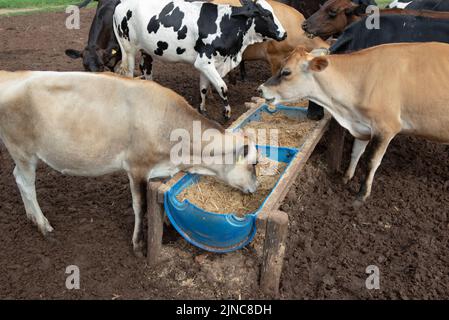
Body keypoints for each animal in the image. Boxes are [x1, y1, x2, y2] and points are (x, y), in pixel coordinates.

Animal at [114, 0, 286, 120]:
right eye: (266, 14)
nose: (284, 34)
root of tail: (121, 3)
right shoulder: (204, 62)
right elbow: (223, 88)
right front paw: (226, 113)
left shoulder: (207, 64)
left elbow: (203, 88)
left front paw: (202, 110)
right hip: (128, 49)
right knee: (128, 74)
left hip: (147, 51)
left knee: (147, 70)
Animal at [260, 42, 449, 205]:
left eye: (286, 72)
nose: (260, 89)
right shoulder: (363, 127)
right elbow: (355, 152)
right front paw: (346, 177)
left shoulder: (386, 128)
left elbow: (372, 161)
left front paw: (361, 195)